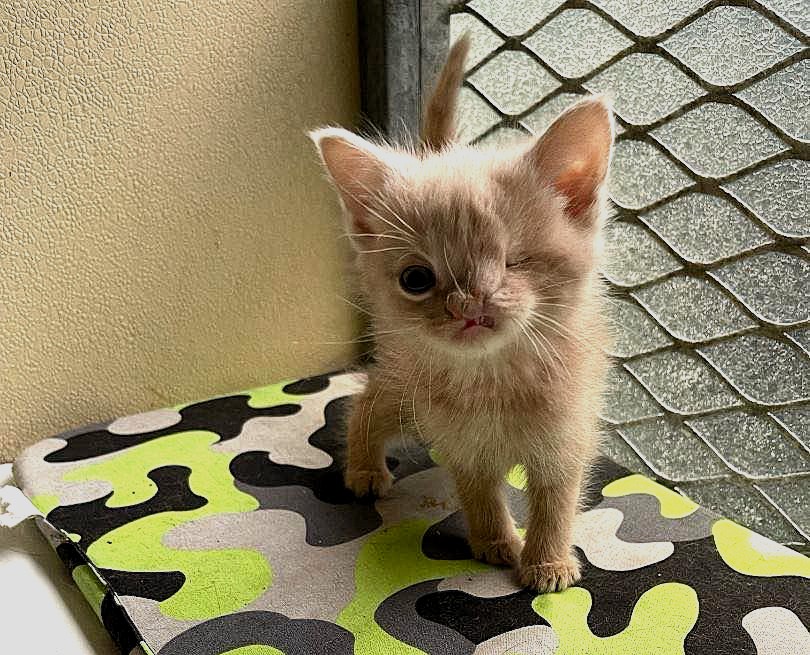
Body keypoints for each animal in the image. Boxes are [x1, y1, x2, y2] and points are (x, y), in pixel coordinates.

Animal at [310, 37, 612, 596]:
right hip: (405, 383)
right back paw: (363, 469)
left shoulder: (568, 431)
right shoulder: (462, 441)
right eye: (416, 279)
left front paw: (547, 563)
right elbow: (479, 492)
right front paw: (495, 542)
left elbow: (557, 499)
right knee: (366, 401)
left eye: (515, 262)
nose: (470, 304)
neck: (492, 378)